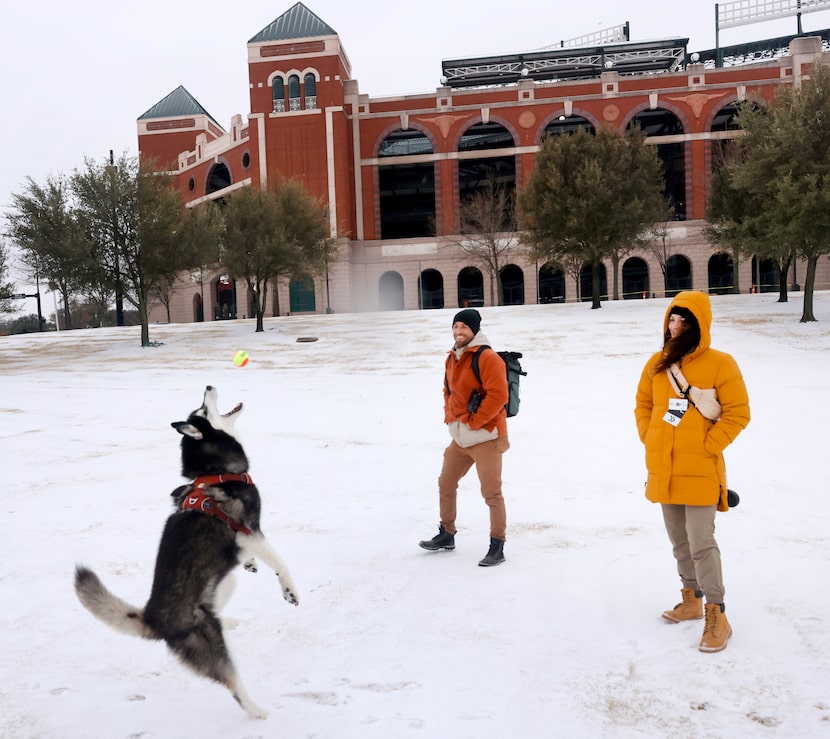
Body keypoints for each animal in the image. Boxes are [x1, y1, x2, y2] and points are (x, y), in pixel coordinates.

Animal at [75, 384, 300, 720]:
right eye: (202, 410)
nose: (208, 386)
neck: (216, 472)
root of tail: (153, 618)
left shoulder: (245, 541)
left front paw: (250, 563)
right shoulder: (251, 531)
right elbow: (282, 564)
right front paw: (289, 591)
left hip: (222, 584)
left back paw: (228, 622)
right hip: (209, 643)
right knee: (233, 684)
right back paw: (257, 711)